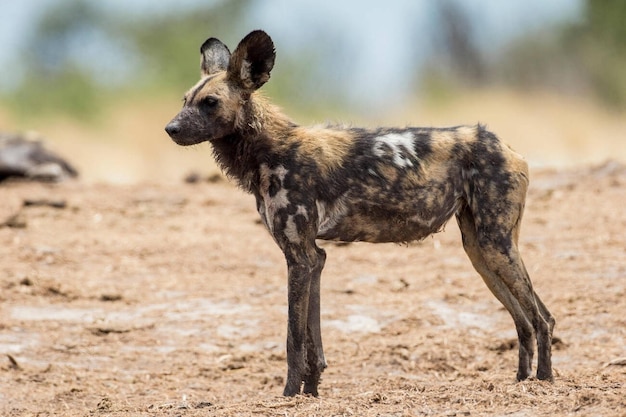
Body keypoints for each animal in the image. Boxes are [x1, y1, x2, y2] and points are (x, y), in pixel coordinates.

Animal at [163, 30, 552, 396]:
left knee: (543, 319)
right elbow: (312, 343)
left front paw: (288, 395)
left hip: (496, 247)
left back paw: (545, 381)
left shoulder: (299, 257)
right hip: (480, 253)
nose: (171, 129)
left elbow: (293, 339)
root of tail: (503, 145)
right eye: (185, 101)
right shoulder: (313, 258)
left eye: (210, 103)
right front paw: (311, 392)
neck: (269, 149)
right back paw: (522, 380)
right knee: (525, 320)